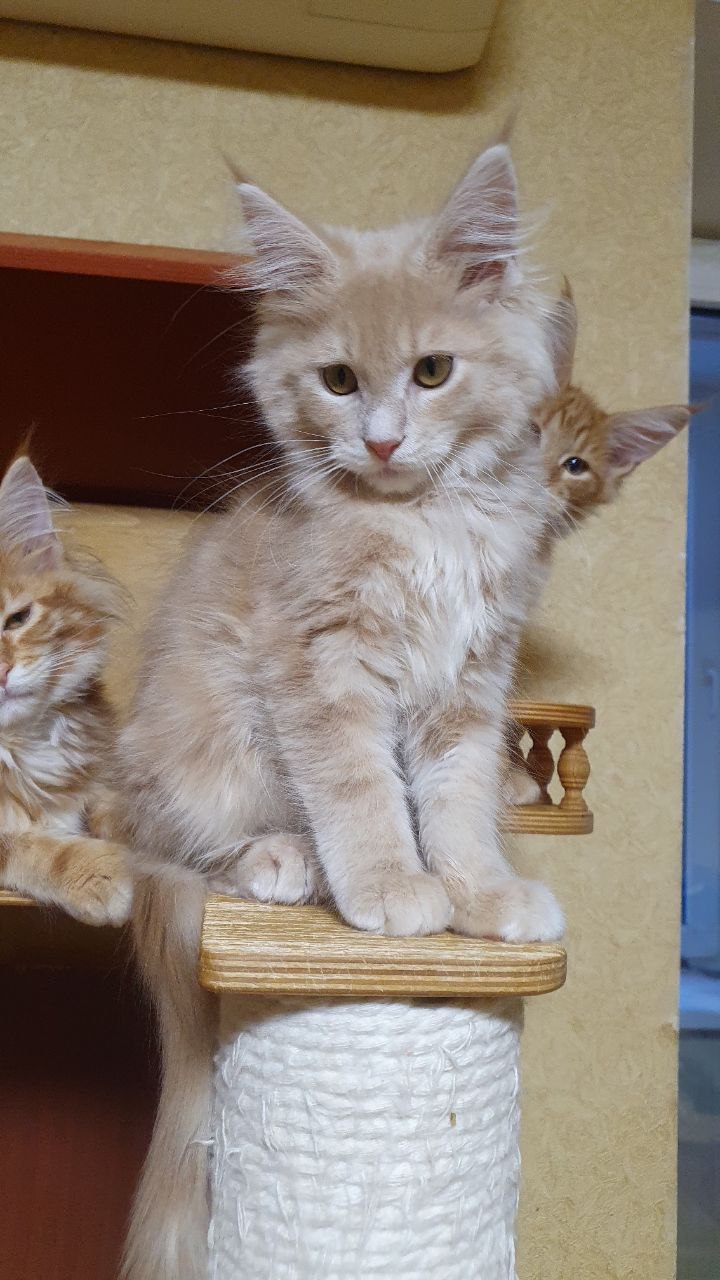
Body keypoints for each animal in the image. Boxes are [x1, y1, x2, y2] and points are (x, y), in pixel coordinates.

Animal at [119, 141, 569, 1280]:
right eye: (337, 381)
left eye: (431, 373)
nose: (380, 442)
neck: (427, 522)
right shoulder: (319, 665)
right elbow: (363, 794)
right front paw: (393, 886)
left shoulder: (469, 684)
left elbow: (456, 802)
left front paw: (478, 892)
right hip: (197, 752)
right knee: (187, 849)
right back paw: (288, 861)